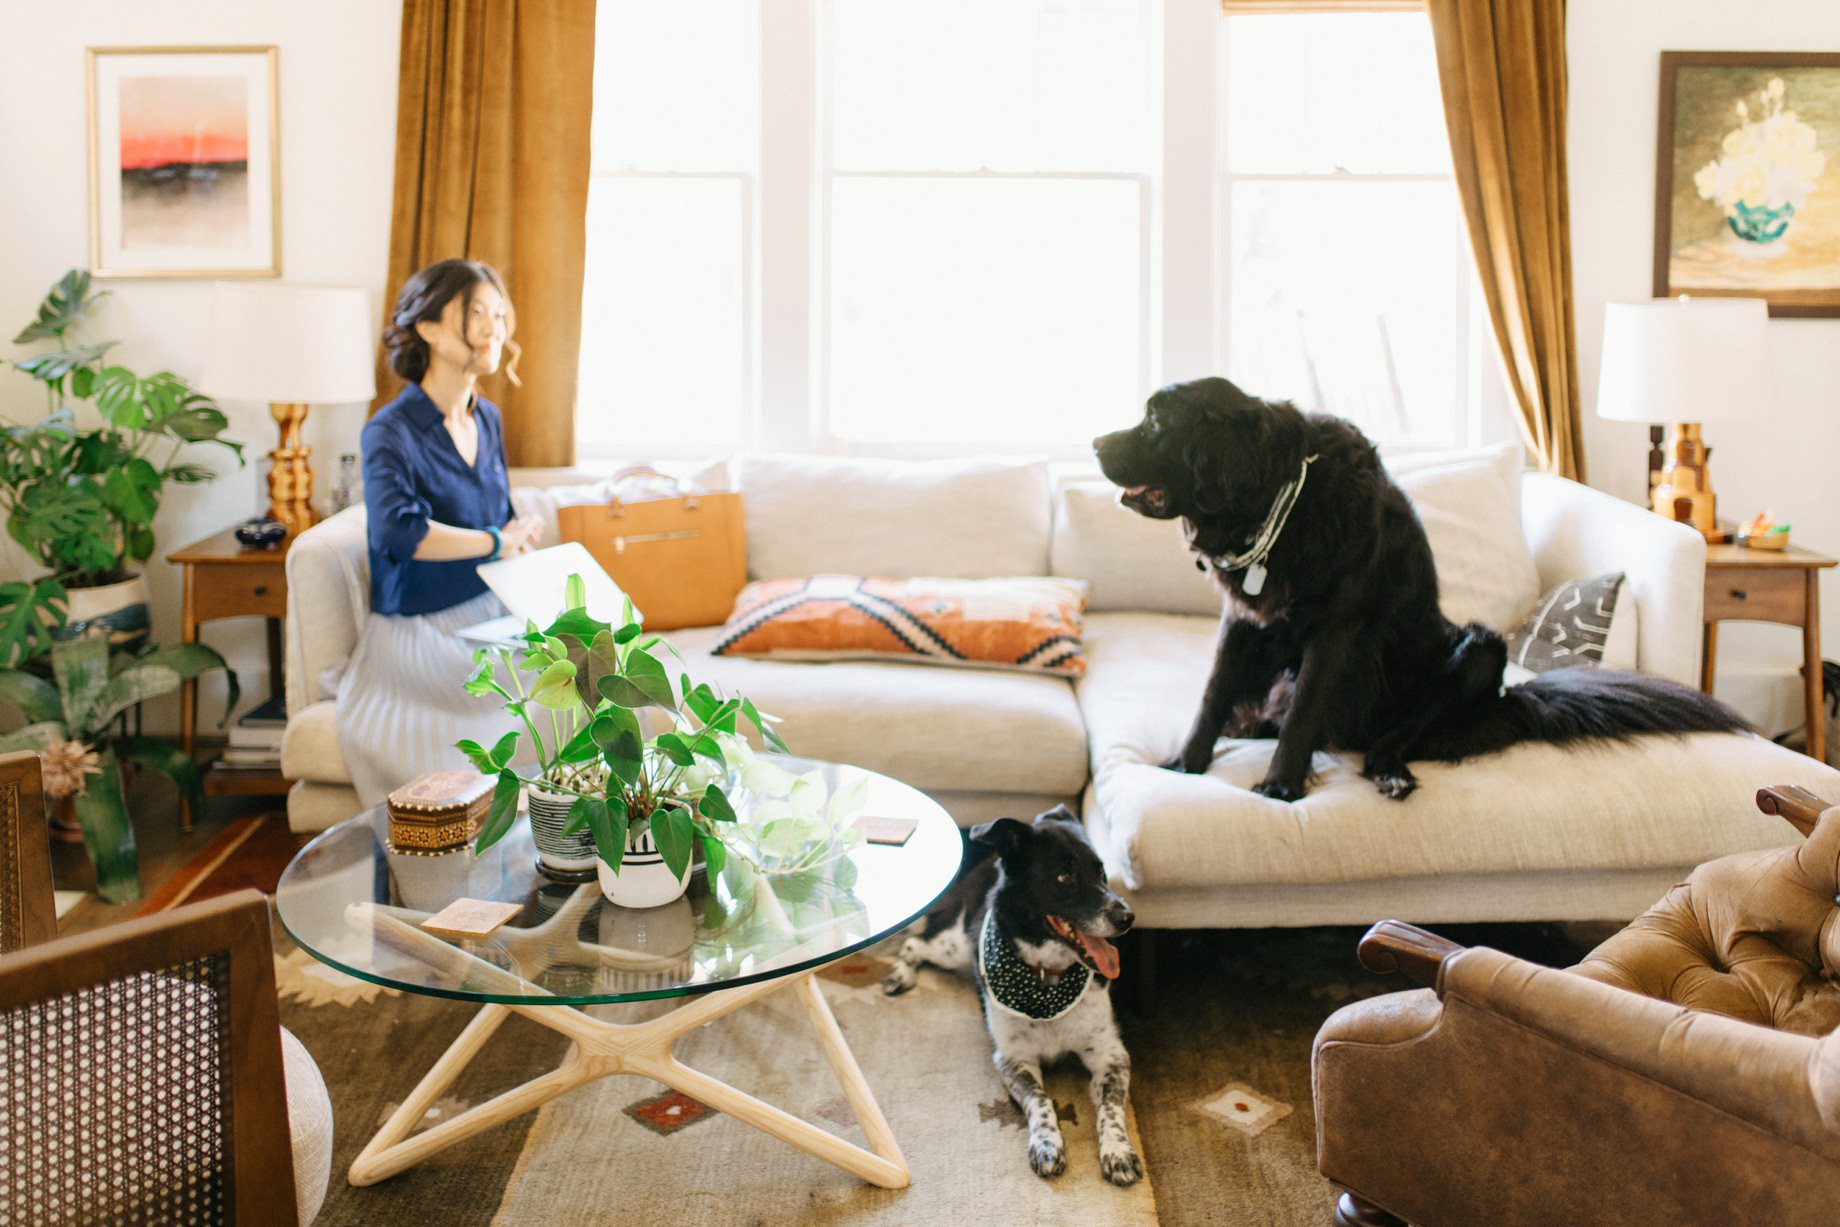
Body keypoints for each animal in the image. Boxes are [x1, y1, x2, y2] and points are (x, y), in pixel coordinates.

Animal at [875, 805, 1133, 1192]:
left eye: (1101, 871)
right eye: (1064, 877)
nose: (1127, 917)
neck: (1044, 980)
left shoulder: (1110, 1054)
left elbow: (1111, 1107)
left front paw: (1117, 1150)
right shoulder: (1013, 1057)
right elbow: (1040, 1101)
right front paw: (1047, 1144)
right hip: (955, 945)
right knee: (917, 942)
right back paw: (900, 975)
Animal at [1089, 377, 1751, 805]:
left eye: (1155, 422)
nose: (1094, 443)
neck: (1281, 500)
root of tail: (1505, 707)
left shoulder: (1335, 631)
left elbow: (1303, 711)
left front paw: (1280, 785)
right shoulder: (1245, 621)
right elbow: (1213, 694)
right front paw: (1187, 761)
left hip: (1477, 652)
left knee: (1391, 741)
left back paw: (1390, 773)